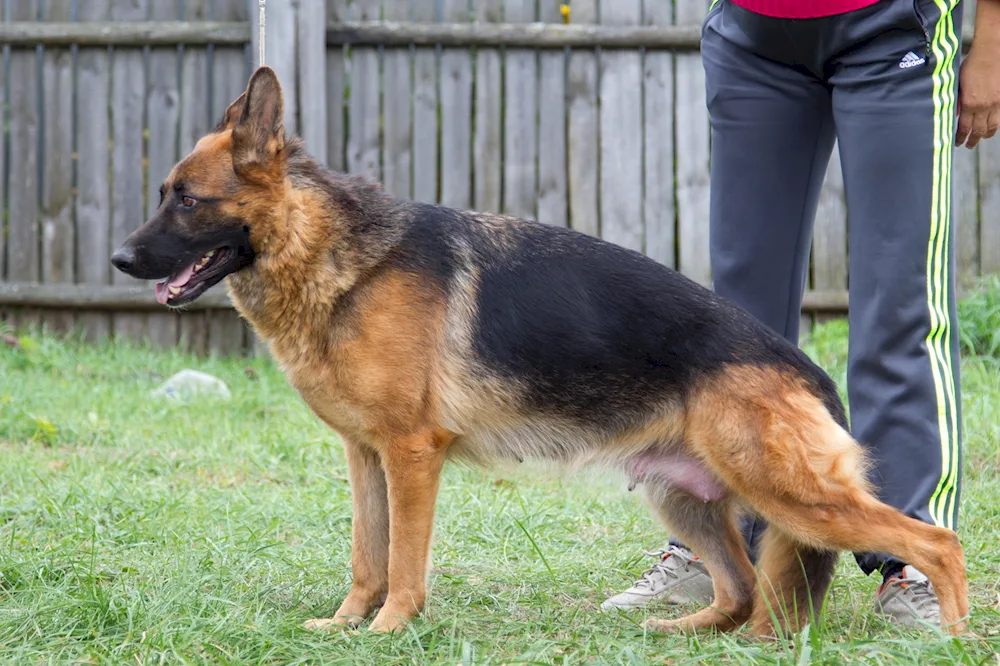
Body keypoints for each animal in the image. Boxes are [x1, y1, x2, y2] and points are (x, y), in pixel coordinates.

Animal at [109, 66, 968, 632]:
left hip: (792, 496)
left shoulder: (411, 456)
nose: (118, 260)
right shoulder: (366, 457)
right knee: (743, 592)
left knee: (935, 540)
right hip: (687, 499)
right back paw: (677, 634)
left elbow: (405, 561)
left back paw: (952, 632)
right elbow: (366, 553)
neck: (332, 252)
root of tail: (805, 367)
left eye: (187, 200)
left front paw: (390, 629)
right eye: (164, 195)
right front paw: (346, 624)